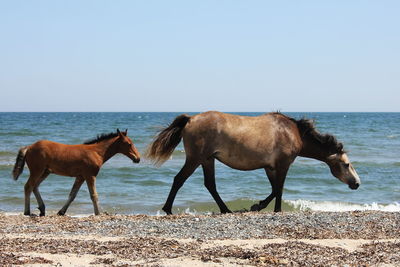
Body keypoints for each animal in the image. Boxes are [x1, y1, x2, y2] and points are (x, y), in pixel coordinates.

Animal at [12, 130, 141, 218]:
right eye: (129, 144)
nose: (138, 159)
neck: (97, 152)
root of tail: (29, 147)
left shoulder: (80, 177)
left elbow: (72, 194)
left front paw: (61, 212)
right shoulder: (90, 175)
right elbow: (94, 195)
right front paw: (98, 213)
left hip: (45, 172)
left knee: (35, 186)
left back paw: (42, 209)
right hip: (37, 170)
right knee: (28, 186)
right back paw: (27, 211)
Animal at [147, 111, 360, 216]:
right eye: (346, 164)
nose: (357, 183)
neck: (293, 132)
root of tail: (190, 119)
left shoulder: (269, 167)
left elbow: (274, 189)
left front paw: (259, 206)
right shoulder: (282, 164)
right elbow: (279, 189)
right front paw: (269, 208)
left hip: (207, 160)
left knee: (210, 185)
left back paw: (226, 210)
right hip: (196, 158)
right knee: (179, 179)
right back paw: (168, 209)